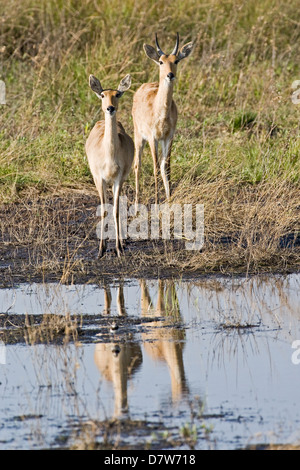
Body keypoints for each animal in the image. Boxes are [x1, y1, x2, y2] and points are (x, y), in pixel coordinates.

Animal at [86, 74, 134, 258]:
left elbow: (116, 210)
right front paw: (101, 249)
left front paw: (119, 248)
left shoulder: (118, 179)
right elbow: (104, 210)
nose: (110, 108)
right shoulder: (100, 178)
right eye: (102, 95)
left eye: (117, 94)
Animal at [132, 32, 193, 208]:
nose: (170, 75)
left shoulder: (169, 137)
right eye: (161, 61)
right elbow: (155, 168)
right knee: (137, 164)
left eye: (176, 60)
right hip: (139, 137)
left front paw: (169, 198)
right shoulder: (153, 138)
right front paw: (157, 199)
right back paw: (137, 201)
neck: (161, 112)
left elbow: (166, 167)